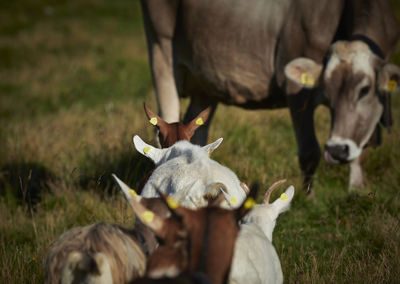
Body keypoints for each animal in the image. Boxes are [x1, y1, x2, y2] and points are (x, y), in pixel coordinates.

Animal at [140, 0, 400, 192]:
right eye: (326, 86)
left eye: (365, 89)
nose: (337, 151)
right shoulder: (295, 89)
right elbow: (309, 151)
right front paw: (308, 197)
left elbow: (361, 148)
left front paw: (357, 190)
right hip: (160, 46)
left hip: (206, 79)